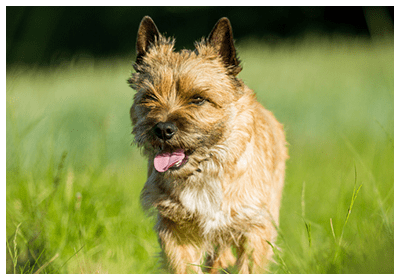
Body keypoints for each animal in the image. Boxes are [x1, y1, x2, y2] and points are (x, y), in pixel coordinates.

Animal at [128, 15, 288, 274]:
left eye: (198, 99)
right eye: (150, 97)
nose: (162, 129)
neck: (203, 172)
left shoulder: (254, 226)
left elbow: (247, 265)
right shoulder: (175, 228)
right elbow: (184, 266)